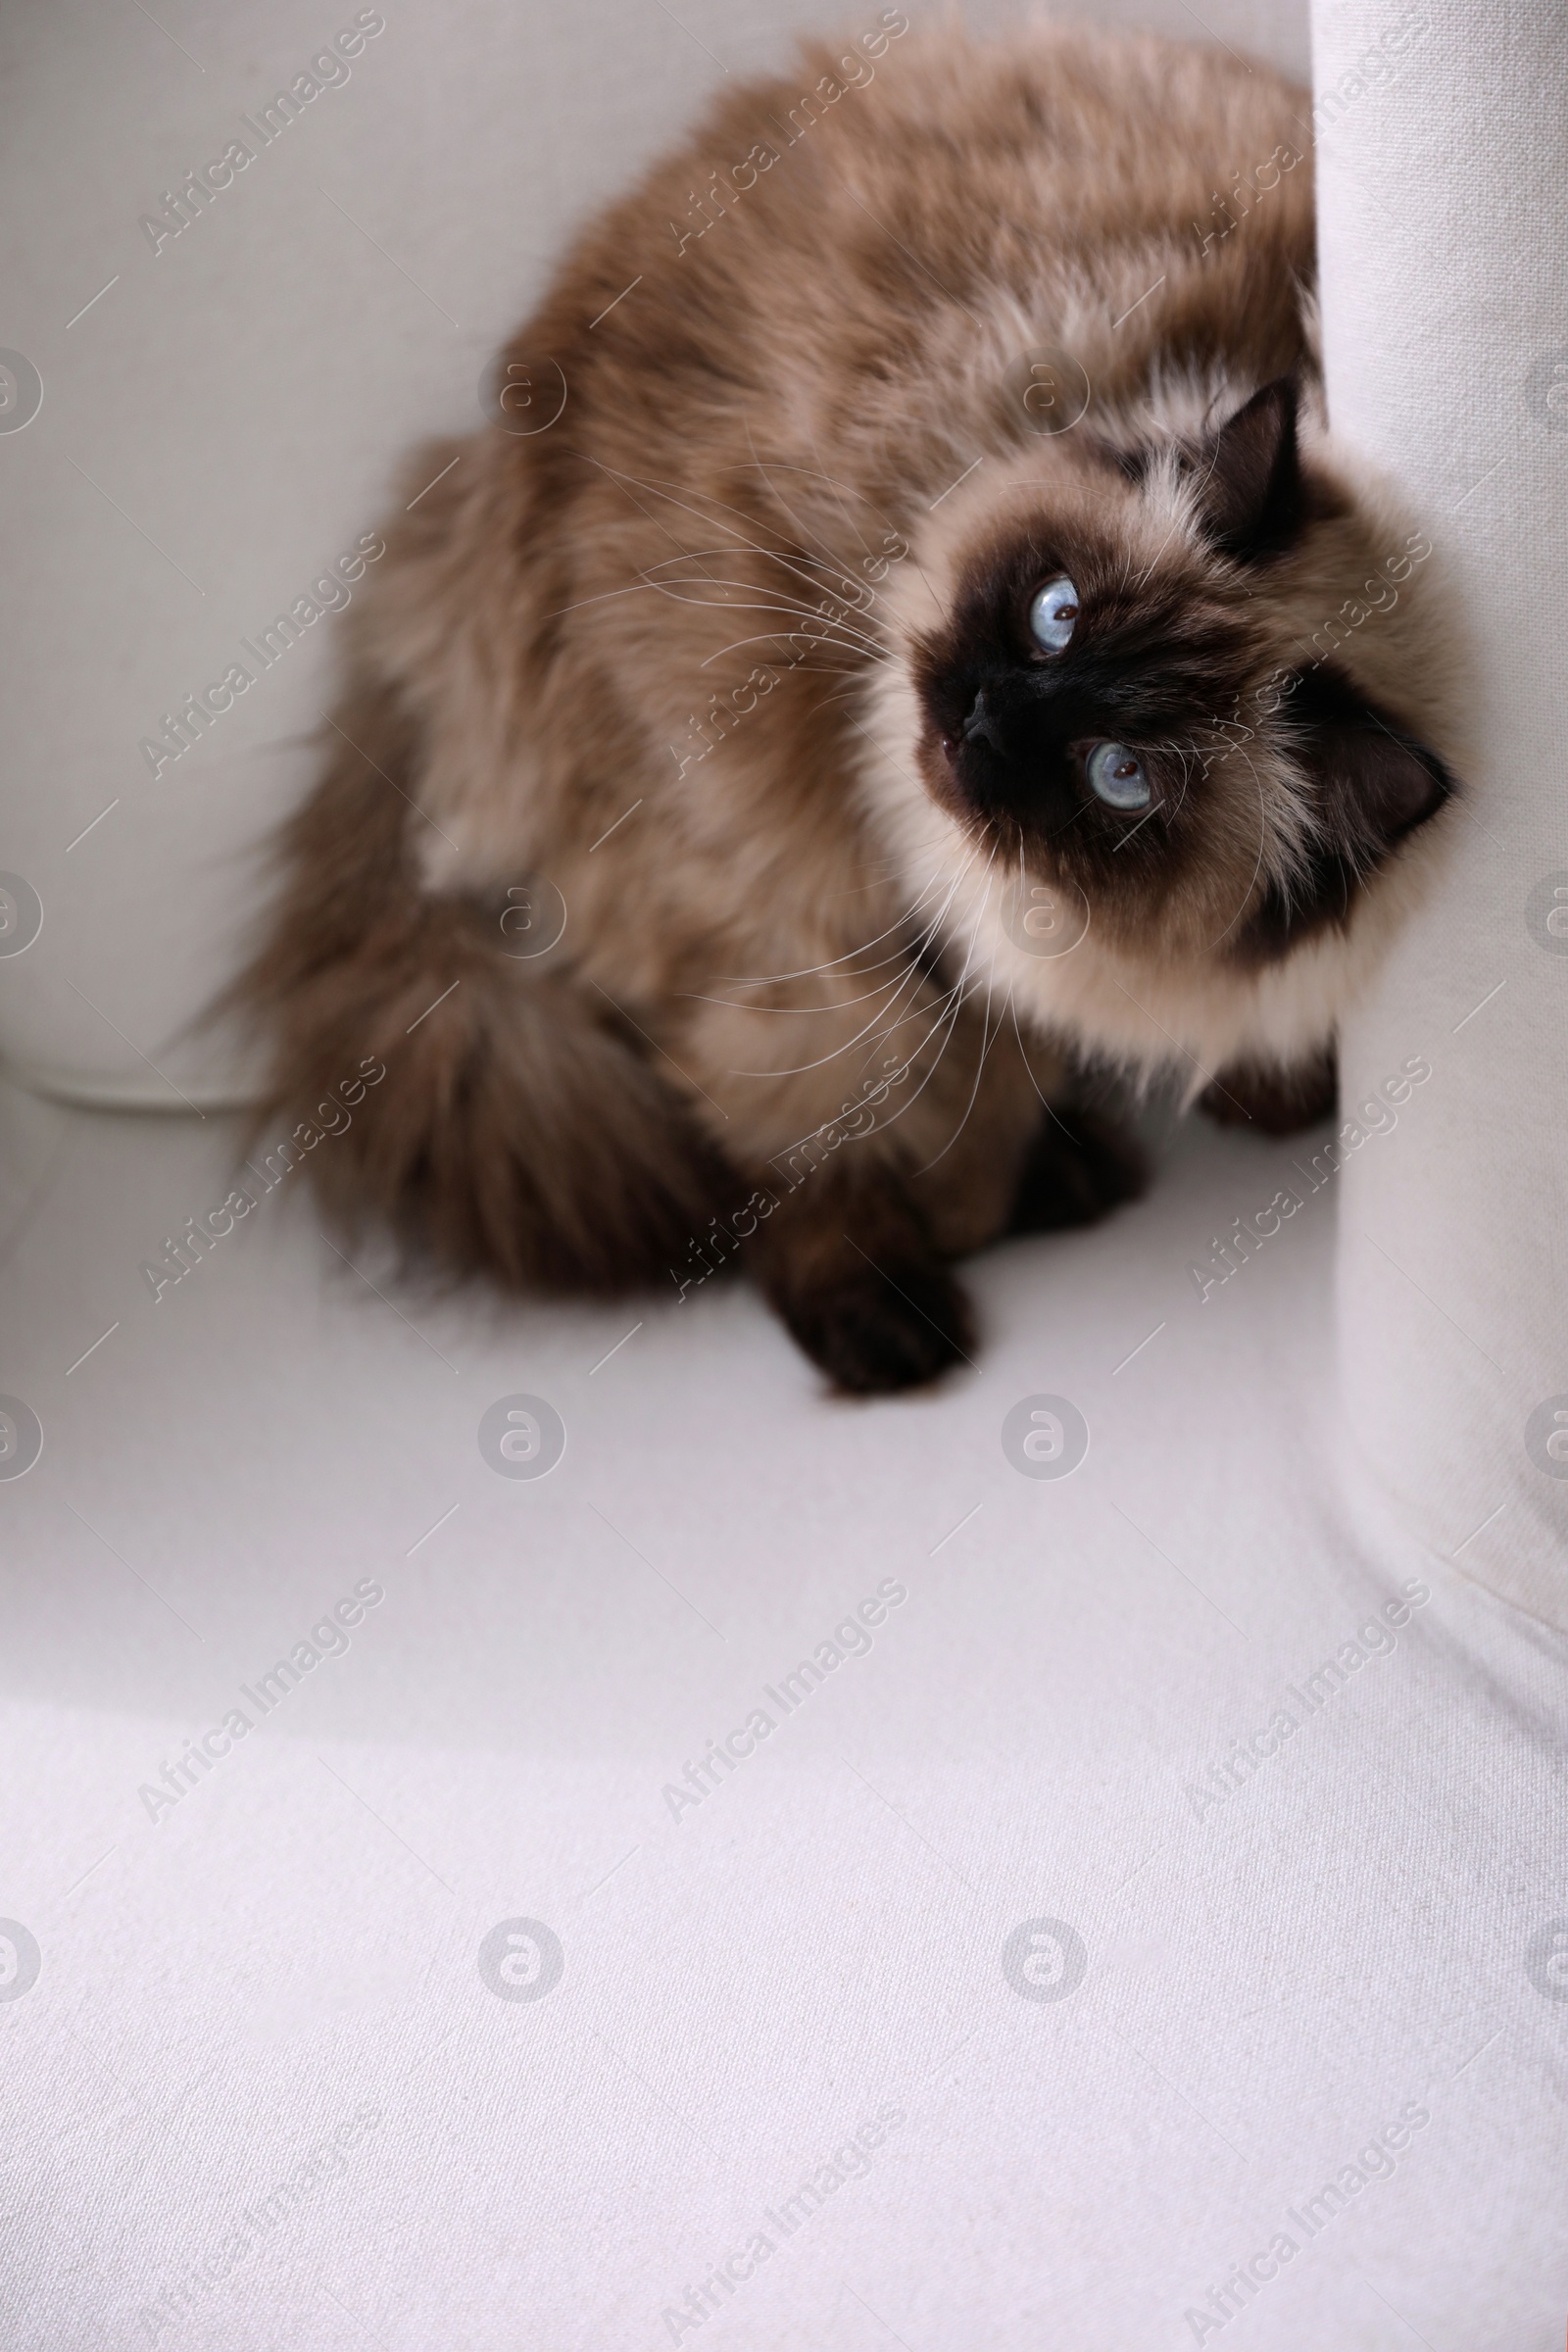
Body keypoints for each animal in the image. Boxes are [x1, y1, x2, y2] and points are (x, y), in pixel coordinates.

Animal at [230, 14, 1457, 1392]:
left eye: (1120, 775)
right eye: (1054, 613)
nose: (979, 718)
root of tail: (460, 496)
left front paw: (1240, 1096)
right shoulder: (818, 866)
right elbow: (892, 1102)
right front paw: (983, 1199)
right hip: (739, 877)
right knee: (780, 1142)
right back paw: (908, 1316)